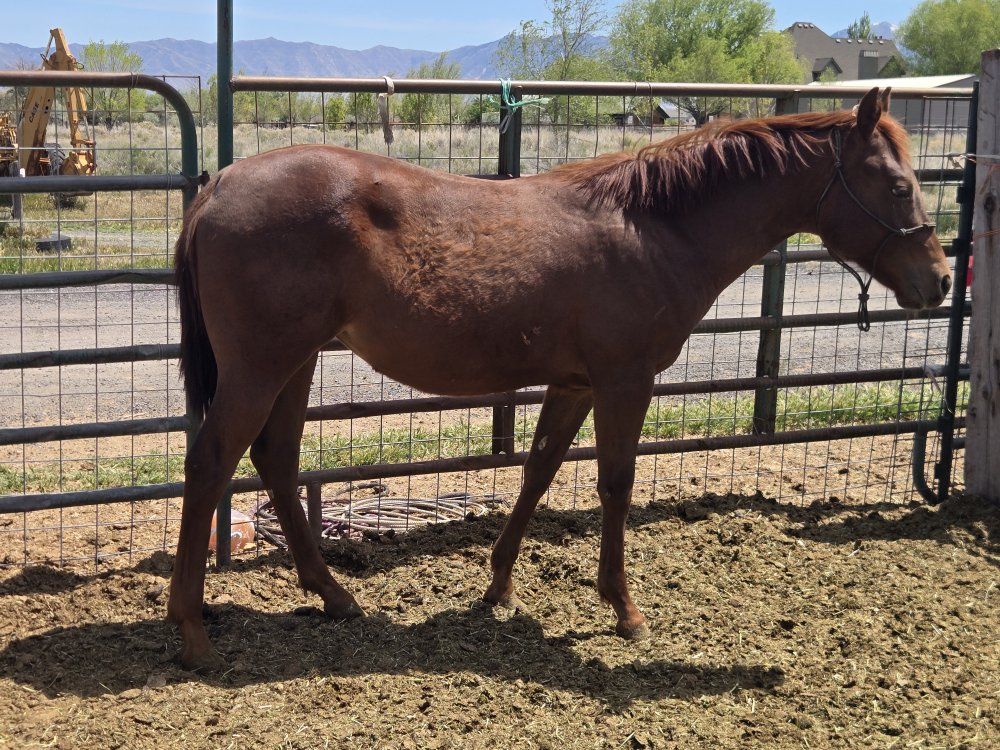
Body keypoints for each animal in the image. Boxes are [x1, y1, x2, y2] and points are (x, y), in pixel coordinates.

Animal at [168, 87, 951, 670]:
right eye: (898, 184)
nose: (940, 280)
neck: (652, 226)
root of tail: (218, 186)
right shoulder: (624, 381)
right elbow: (615, 485)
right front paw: (625, 610)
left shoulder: (574, 384)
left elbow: (538, 472)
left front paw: (499, 586)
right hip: (261, 366)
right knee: (210, 462)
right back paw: (192, 631)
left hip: (294, 362)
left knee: (275, 459)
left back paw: (333, 595)